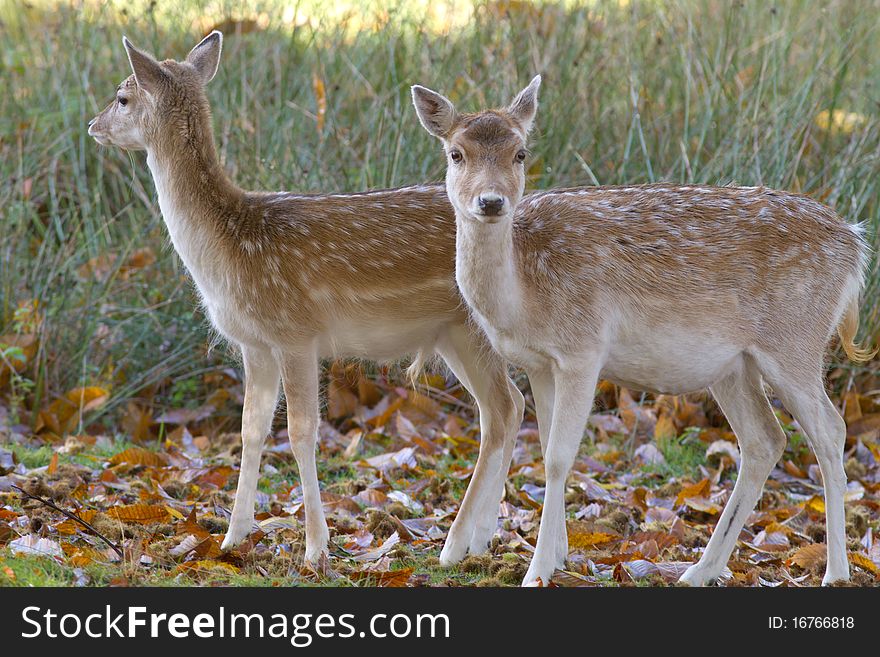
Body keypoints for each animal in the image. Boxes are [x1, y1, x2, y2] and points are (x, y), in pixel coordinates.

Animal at [87, 30, 524, 564]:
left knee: (502, 409)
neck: (228, 249)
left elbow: (299, 432)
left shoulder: (295, 330)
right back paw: (482, 539)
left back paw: (458, 544)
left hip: (472, 327)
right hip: (452, 336)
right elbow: (251, 429)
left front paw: (316, 547)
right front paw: (233, 537)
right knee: (508, 407)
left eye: (122, 97)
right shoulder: (254, 343)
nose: (93, 125)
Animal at [414, 75, 880, 584]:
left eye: (520, 153)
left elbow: (558, 458)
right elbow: (544, 451)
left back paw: (835, 571)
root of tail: (855, 245)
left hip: (795, 340)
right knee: (764, 440)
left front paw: (536, 571)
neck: (524, 295)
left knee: (830, 431)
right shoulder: (539, 363)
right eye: (455, 153)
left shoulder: (583, 349)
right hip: (735, 365)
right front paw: (556, 557)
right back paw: (699, 570)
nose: (491, 201)